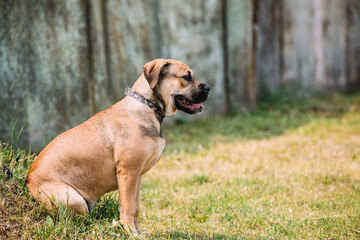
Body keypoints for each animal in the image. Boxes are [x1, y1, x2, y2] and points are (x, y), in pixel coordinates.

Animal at [26, 58, 211, 234]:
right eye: (187, 77)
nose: (209, 87)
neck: (147, 106)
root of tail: (28, 182)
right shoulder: (128, 173)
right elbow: (128, 208)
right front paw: (130, 232)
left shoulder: (137, 176)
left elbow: (135, 207)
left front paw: (138, 231)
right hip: (73, 199)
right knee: (76, 221)